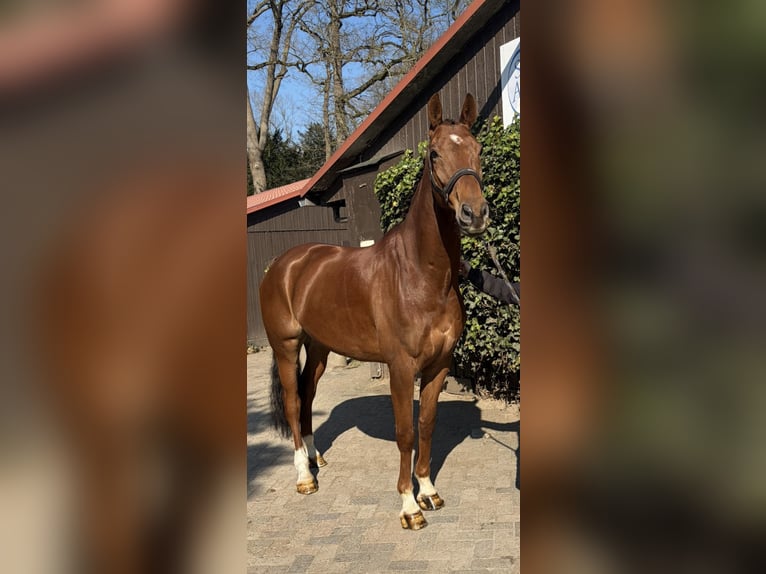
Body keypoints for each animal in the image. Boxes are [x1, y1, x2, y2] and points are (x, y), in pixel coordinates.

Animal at [259, 92, 489, 530]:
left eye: (478, 149)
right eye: (434, 153)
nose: (474, 214)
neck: (422, 275)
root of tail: (285, 264)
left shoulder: (439, 366)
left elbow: (427, 425)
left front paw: (428, 490)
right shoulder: (400, 367)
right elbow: (404, 432)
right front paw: (409, 506)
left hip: (319, 348)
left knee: (309, 395)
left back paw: (316, 460)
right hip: (285, 346)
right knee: (295, 402)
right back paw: (303, 477)